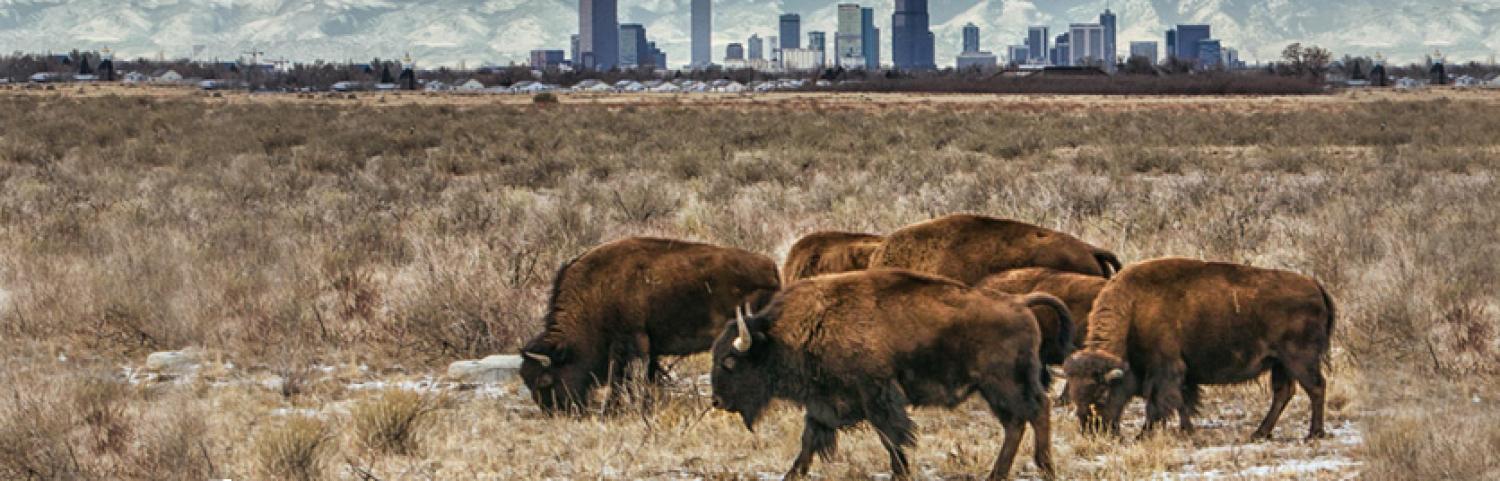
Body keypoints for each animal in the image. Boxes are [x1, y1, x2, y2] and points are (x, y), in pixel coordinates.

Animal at [520, 237, 780, 413]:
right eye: (526, 379)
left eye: (545, 380)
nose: (554, 412)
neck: (594, 294)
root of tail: (771, 268)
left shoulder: (630, 341)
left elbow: (623, 377)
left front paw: (613, 410)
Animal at [711, 269, 1059, 480]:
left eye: (729, 361)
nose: (716, 400)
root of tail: (1019, 302)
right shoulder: (823, 403)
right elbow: (809, 439)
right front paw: (792, 474)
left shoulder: (876, 396)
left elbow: (890, 437)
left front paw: (900, 472)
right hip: (993, 390)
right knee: (1017, 423)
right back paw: (999, 473)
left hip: (1004, 384)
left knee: (1036, 411)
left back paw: (1044, 466)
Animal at [1063, 258, 1336, 440]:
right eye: (1075, 395)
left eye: (1102, 394)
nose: (1092, 432)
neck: (1134, 309)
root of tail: (1314, 285)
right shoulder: (1183, 374)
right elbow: (1183, 402)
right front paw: (1187, 430)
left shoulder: (1164, 370)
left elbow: (1157, 404)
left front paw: (1144, 434)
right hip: (1280, 363)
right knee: (1283, 393)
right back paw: (1260, 433)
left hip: (1299, 360)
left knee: (1316, 388)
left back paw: (1313, 434)